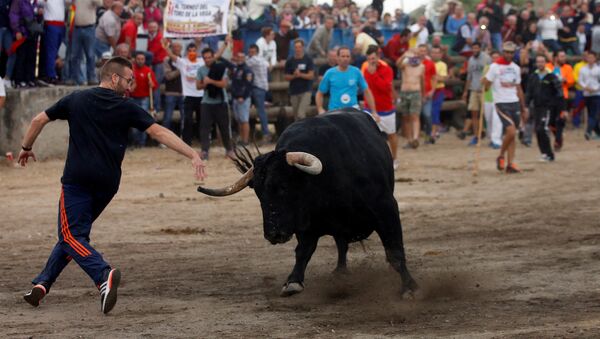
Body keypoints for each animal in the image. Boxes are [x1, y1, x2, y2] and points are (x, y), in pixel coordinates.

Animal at [197, 109, 418, 298]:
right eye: (258, 193)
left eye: (284, 186)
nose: (273, 234)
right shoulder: (306, 224)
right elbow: (303, 251)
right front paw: (293, 281)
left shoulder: (386, 208)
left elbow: (395, 251)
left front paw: (409, 287)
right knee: (341, 244)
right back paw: (340, 271)